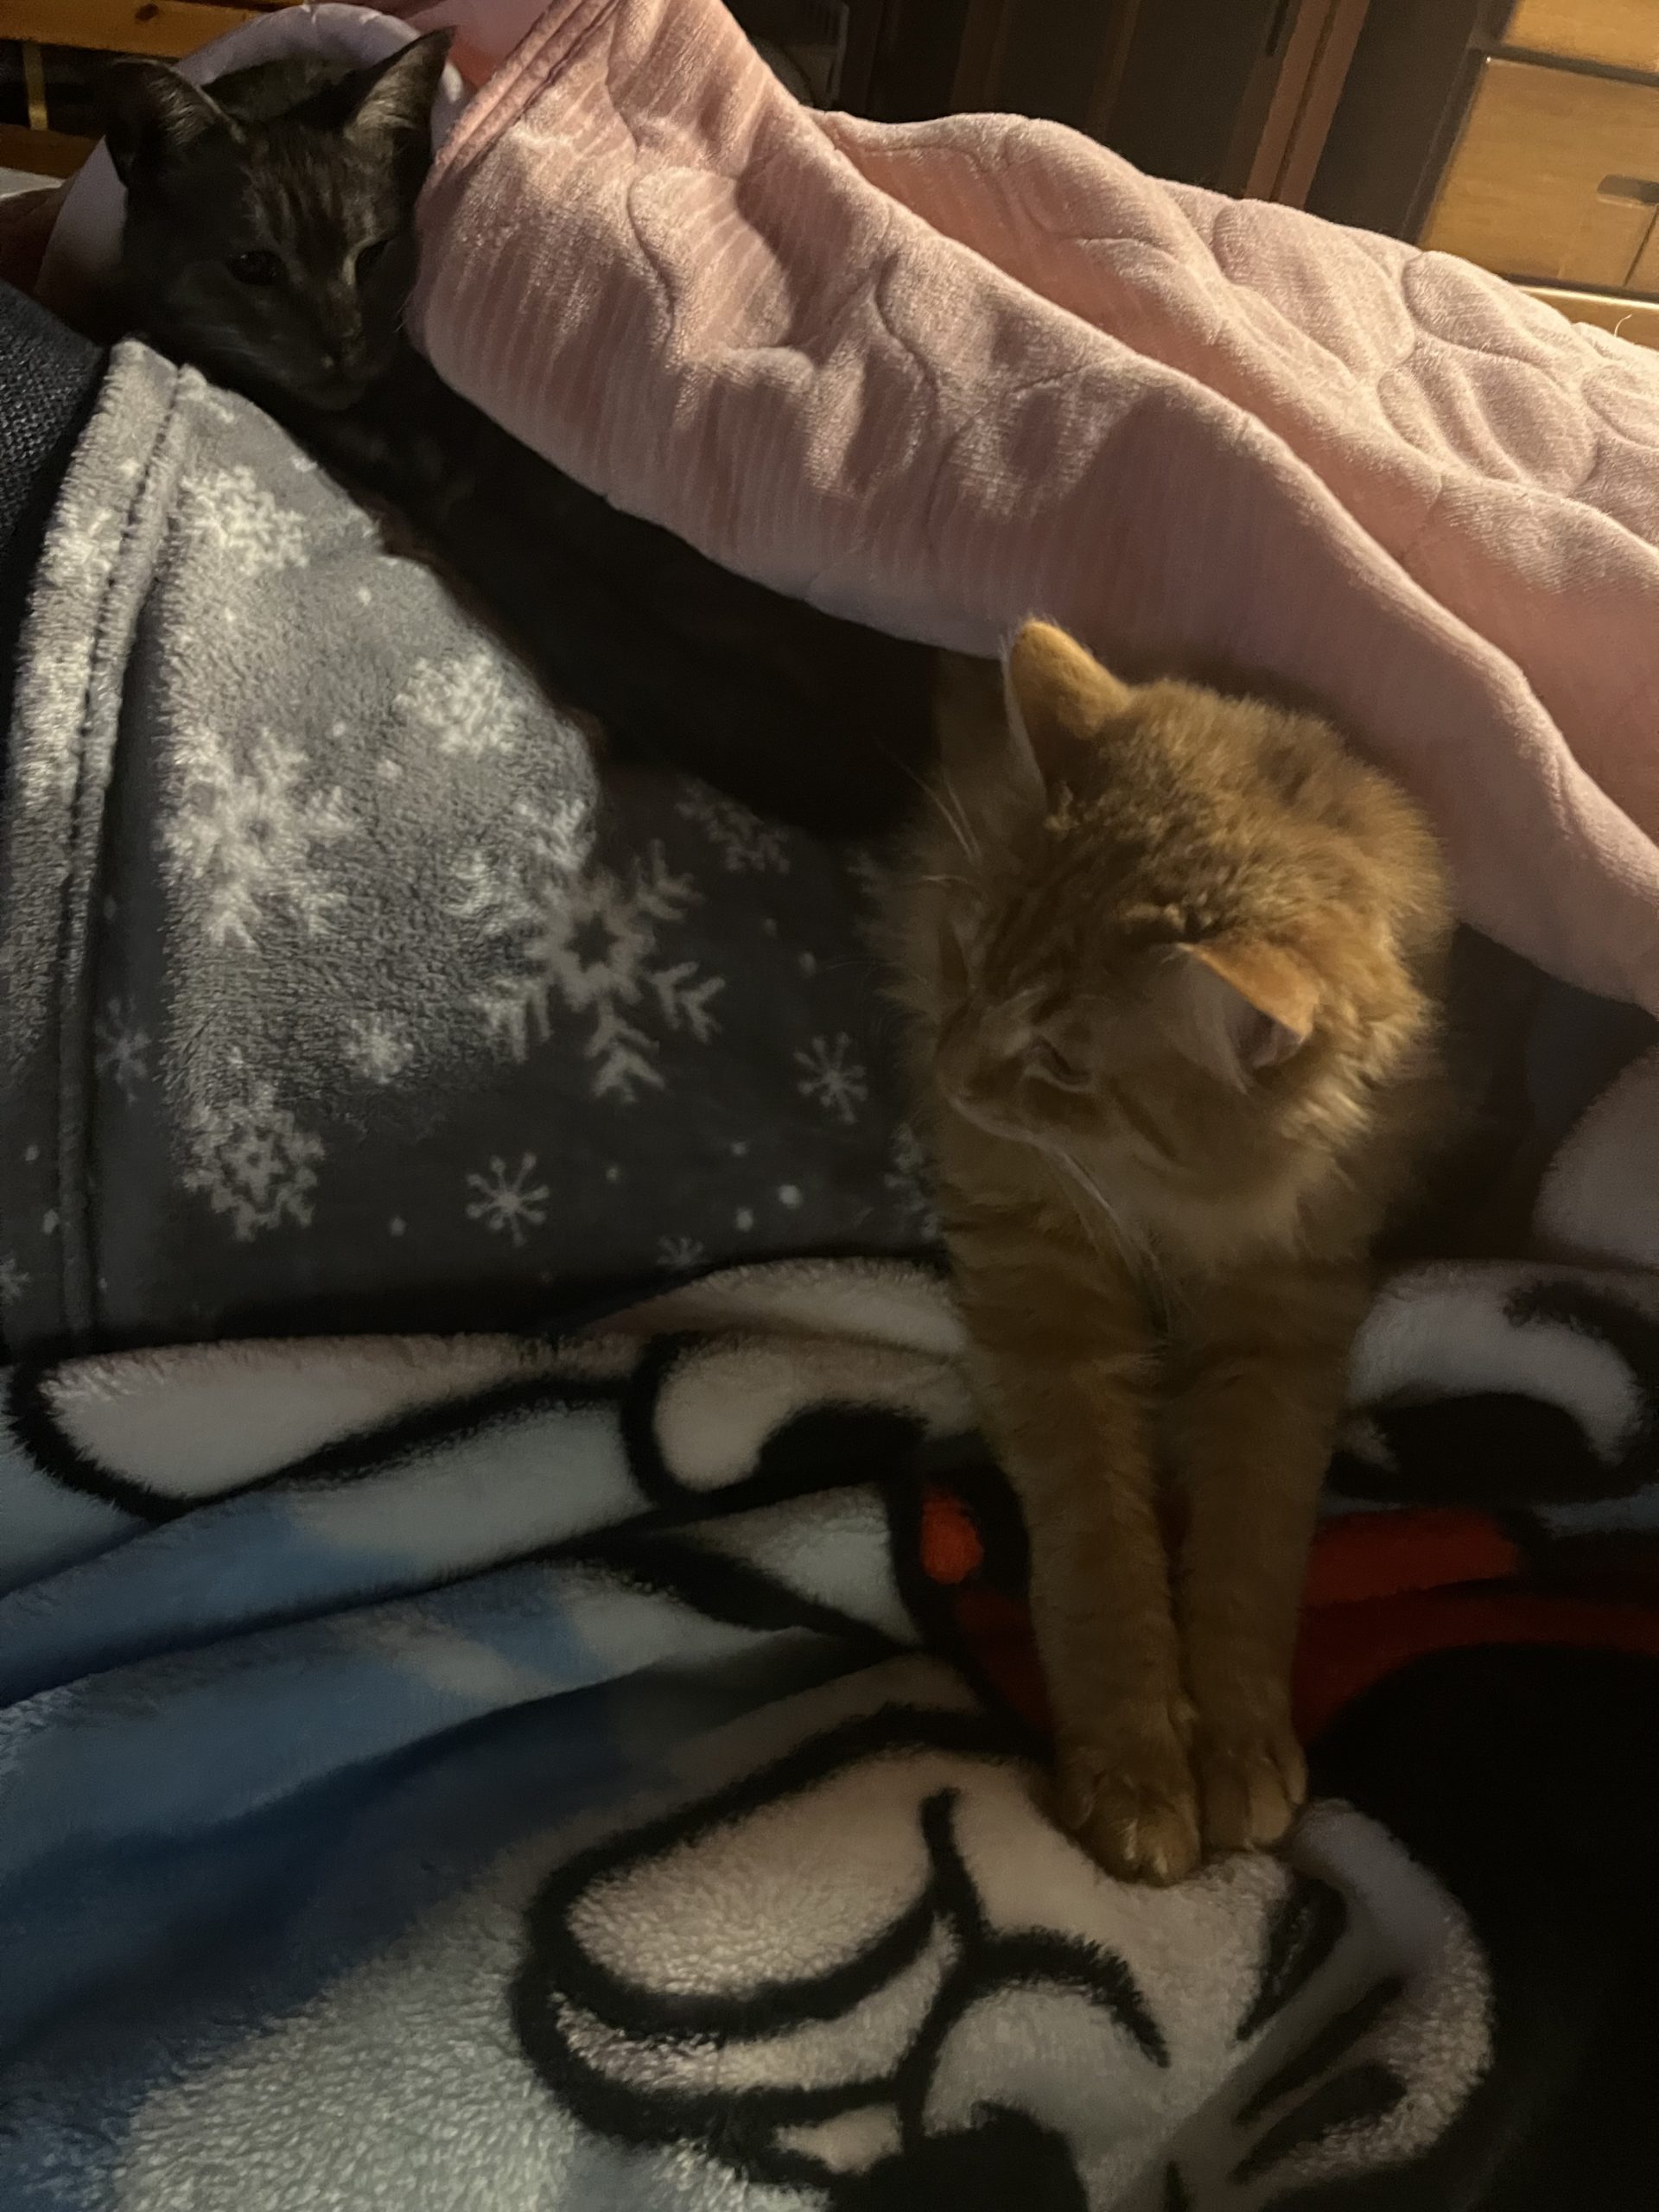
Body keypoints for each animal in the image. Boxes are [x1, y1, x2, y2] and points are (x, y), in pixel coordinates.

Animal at [891, 623, 1454, 1882]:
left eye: (1062, 1061)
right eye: (969, 962)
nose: (948, 1072)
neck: (1174, 1203)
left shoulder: (1284, 1316)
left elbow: (1254, 1543)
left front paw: (1239, 1743)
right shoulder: (1040, 1285)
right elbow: (1101, 1546)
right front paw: (1137, 1770)